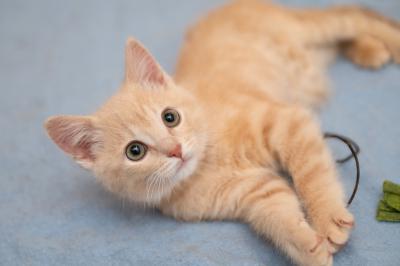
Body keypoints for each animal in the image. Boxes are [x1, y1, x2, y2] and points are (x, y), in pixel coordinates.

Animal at [43, 1, 400, 264]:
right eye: (135, 151)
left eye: (170, 117)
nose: (175, 150)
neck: (208, 158)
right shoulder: (253, 192)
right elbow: (277, 213)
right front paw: (306, 246)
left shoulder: (288, 123)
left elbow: (312, 176)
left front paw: (328, 219)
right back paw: (369, 50)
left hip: (303, 29)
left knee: (351, 16)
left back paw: (389, 45)